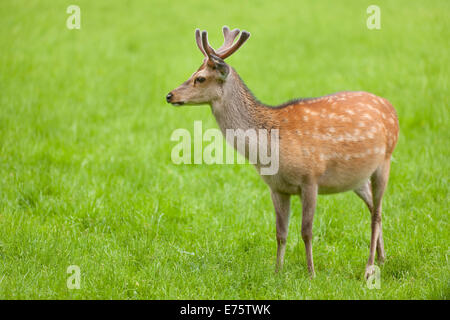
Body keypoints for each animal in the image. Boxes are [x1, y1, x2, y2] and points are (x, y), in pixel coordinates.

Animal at [167, 26, 400, 278]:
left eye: (199, 78)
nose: (170, 95)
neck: (268, 150)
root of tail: (391, 107)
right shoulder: (276, 187)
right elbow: (280, 232)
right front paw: (277, 271)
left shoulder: (311, 178)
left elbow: (306, 230)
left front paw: (311, 273)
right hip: (357, 178)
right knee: (375, 208)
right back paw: (382, 258)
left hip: (385, 161)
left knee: (376, 213)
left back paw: (369, 267)